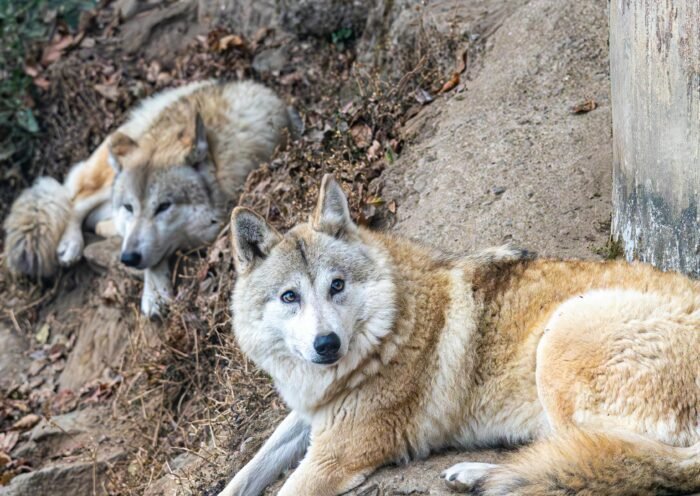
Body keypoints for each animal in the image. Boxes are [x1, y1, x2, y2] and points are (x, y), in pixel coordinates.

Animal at [3, 80, 294, 317]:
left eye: (163, 206)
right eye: (130, 206)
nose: (128, 258)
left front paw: (155, 292)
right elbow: (149, 257)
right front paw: (154, 294)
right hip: (106, 180)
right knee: (75, 201)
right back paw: (70, 245)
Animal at [219, 174, 700, 496]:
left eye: (336, 285)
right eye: (289, 296)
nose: (327, 344)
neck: (388, 329)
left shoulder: (333, 455)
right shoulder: (311, 413)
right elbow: (245, 473)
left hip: (561, 339)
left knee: (611, 456)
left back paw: (485, 475)